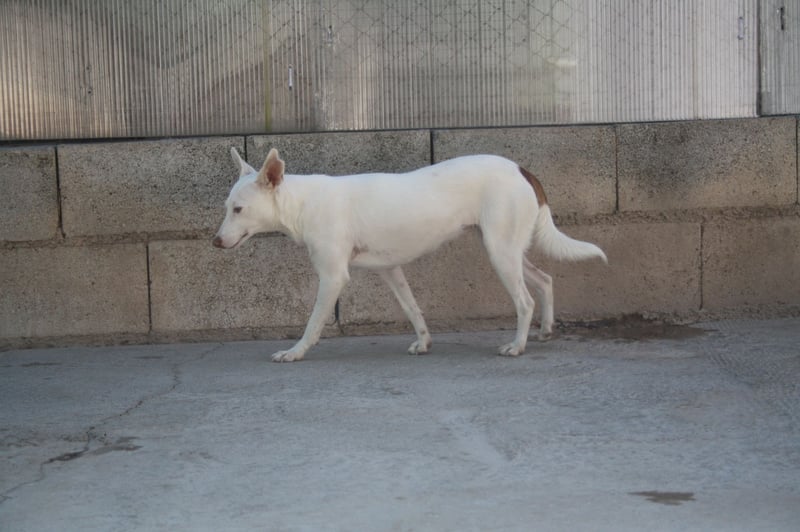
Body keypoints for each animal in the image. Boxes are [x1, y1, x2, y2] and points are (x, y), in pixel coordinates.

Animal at [213, 147, 607, 362]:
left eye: (239, 210)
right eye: (226, 207)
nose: (215, 242)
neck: (303, 202)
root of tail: (521, 169)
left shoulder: (333, 277)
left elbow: (312, 323)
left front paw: (295, 351)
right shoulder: (391, 270)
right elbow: (412, 309)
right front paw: (424, 341)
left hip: (500, 253)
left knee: (525, 300)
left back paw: (518, 345)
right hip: (508, 248)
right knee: (545, 279)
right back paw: (546, 330)